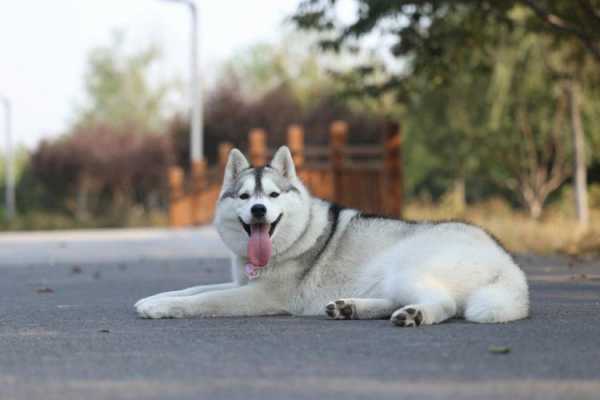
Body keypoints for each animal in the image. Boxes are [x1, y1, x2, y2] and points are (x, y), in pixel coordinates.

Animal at [134, 145, 528, 326]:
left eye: (272, 195)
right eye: (244, 197)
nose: (259, 210)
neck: (293, 239)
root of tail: (506, 261)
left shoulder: (261, 295)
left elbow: (204, 299)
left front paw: (160, 307)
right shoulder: (241, 283)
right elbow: (193, 288)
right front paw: (153, 298)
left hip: (408, 267)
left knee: (444, 304)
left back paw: (414, 314)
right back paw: (350, 307)